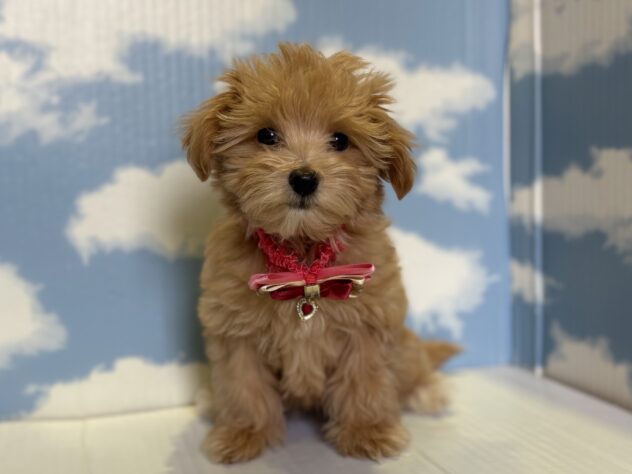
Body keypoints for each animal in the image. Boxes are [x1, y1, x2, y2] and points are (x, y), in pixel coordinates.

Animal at [181, 43, 460, 464]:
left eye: (340, 140)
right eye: (266, 135)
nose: (304, 178)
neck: (304, 263)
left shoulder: (369, 324)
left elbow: (365, 381)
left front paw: (366, 431)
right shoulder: (234, 329)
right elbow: (243, 385)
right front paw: (244, 433)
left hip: (405, 346)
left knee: (414, 364)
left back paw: (429, 390)